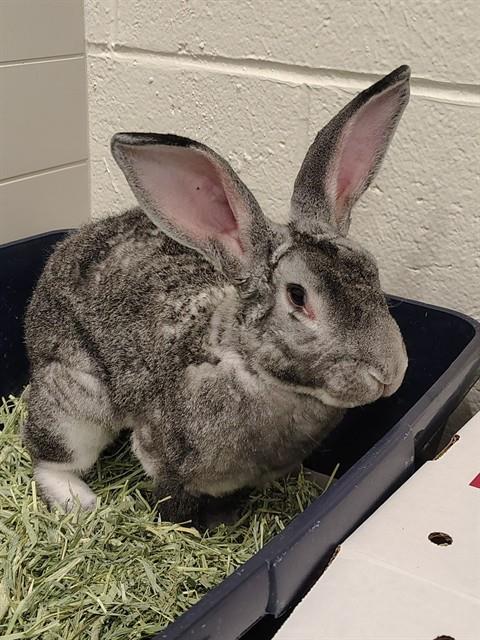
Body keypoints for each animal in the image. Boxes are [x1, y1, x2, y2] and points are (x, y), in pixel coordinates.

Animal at [23, 65, 410, 528]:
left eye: (371, 269)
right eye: (298, 297)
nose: (389, 374)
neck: (248, 364)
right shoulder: (166, 457)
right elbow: (173, 501)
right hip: (73, 398)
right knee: (49, 457)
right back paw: (79, 504)